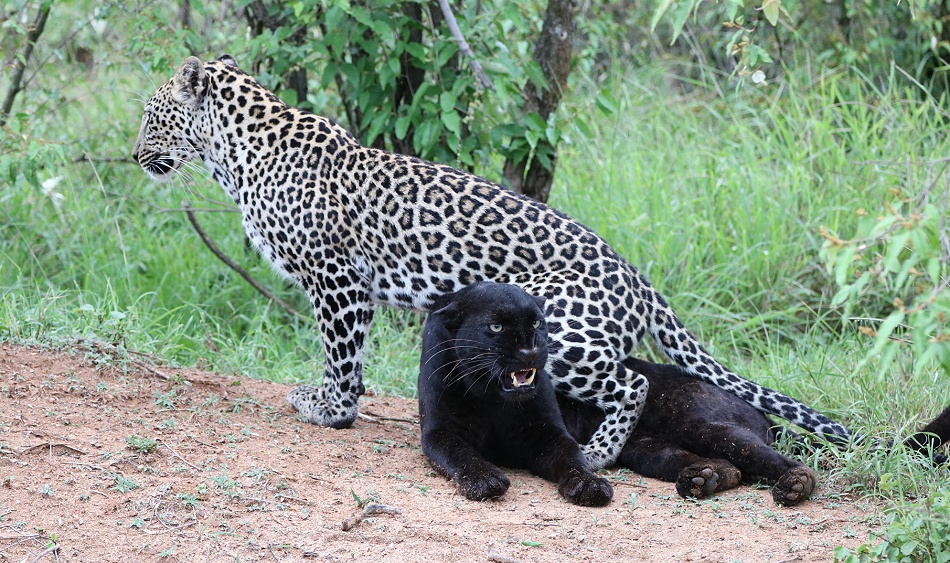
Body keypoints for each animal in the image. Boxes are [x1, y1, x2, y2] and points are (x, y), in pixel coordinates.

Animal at [132, 54, 852, 469]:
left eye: (150, 114)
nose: (135, 154)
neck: (235, 154)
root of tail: (637, 278)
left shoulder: (336, 277)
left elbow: (341, 354)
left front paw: (329, 409)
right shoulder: (346, 283)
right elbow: (351, 357)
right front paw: (341, 404)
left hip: (556, 326)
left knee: (633, 383)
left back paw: (595, 453)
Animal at [418, 281, 613, 506]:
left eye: (536, 323)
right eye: (496, 326)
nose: (530, 351)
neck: (491, 397)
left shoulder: (547, 430)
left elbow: (572, 455)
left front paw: (589, 483)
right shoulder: (440, 429)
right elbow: (460, 452)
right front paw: (484, 479)